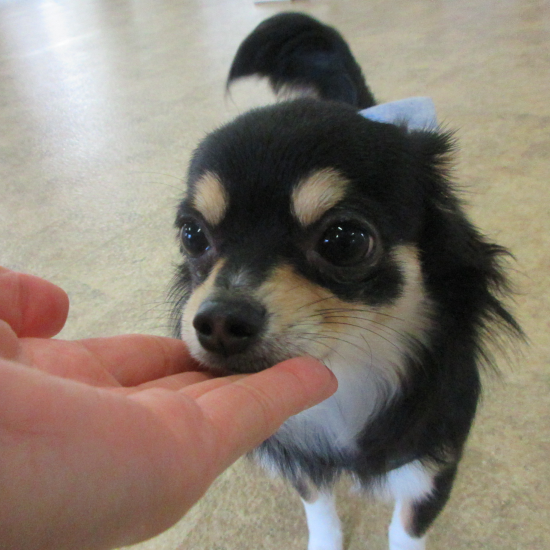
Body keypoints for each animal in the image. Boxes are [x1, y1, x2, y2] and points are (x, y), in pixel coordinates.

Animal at [170, 13, 521, 550]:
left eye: (345, 241)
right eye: (191, 236)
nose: (220, 321)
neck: (348, 374)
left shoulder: (433, 468)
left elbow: (406, 529)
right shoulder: (305, 462)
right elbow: (319, 508)